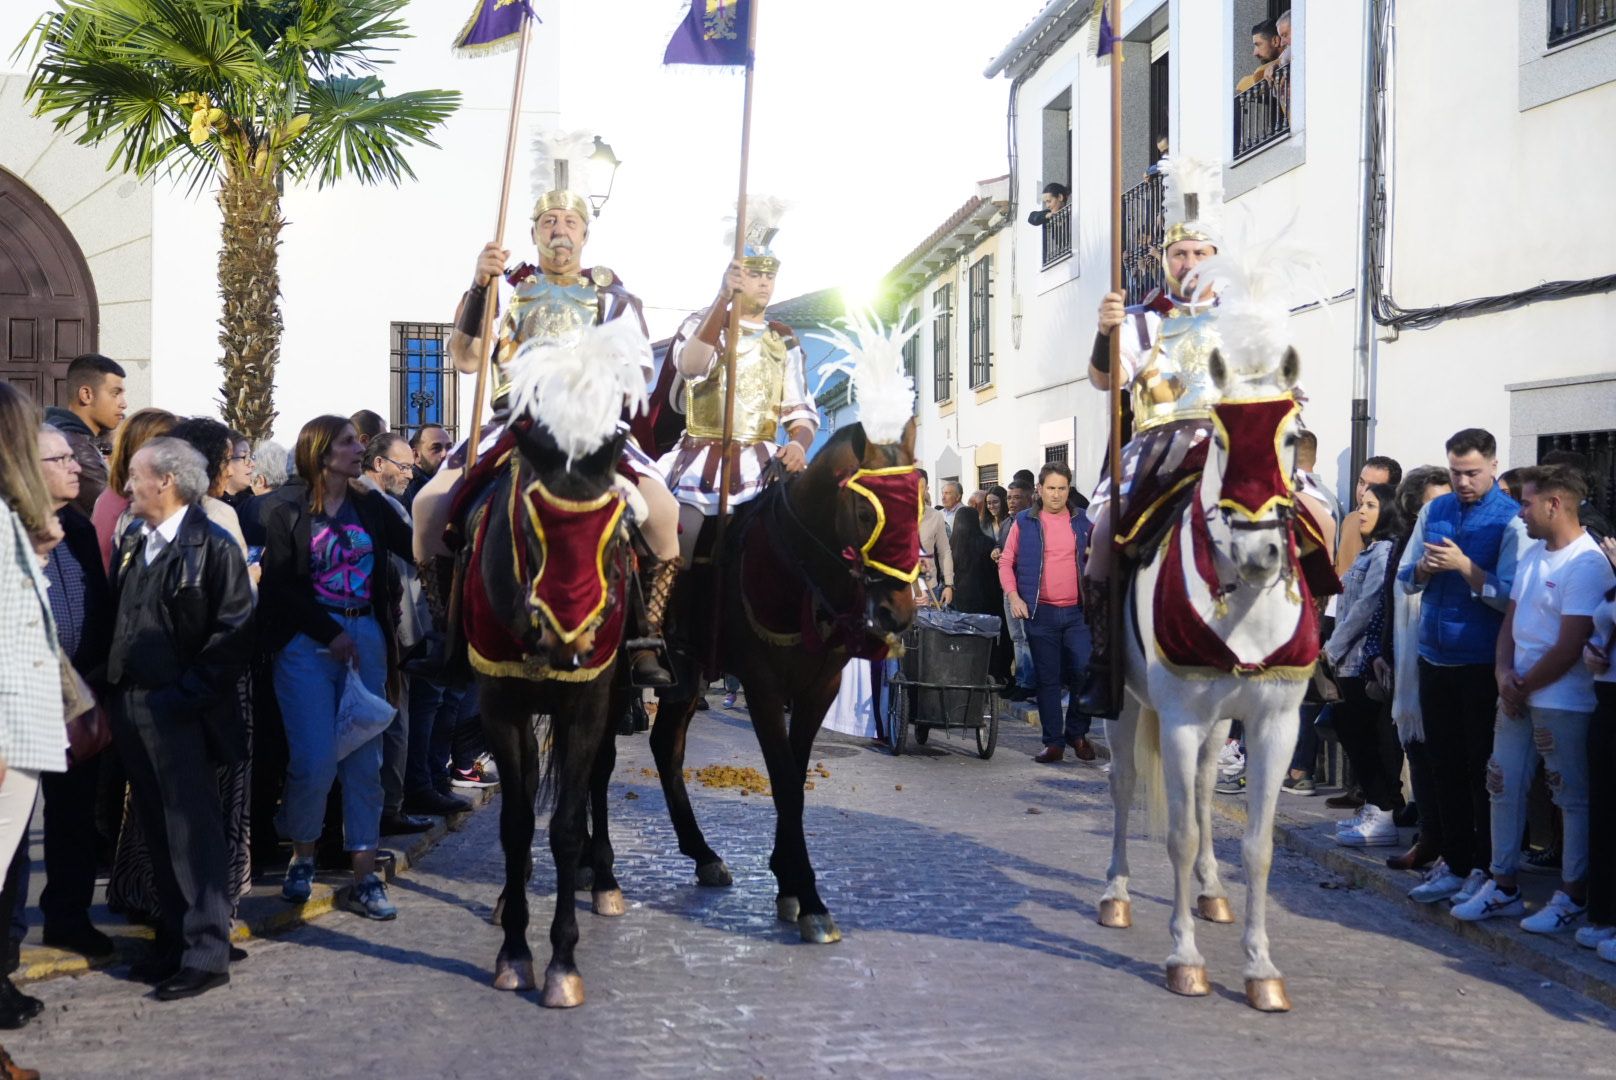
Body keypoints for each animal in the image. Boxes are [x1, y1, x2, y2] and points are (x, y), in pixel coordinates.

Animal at [465, 417, 633, 1008]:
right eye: (531, 525)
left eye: (617, 526)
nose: (570, 641)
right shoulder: (499, 706)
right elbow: (516, 825)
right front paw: (515, 954)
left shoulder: (586, 706)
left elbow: (564, 826)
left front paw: (563, 964)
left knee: (597, 779)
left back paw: (602, 880)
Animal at [646, 420, 924, 944]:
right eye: (865, 513)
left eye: (919, 508)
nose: (896, 614)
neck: (797, 572)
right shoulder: (764, 688)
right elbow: (785, 784)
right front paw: (809, 898)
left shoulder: (820, 689)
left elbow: (794, 778)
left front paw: (789, 883)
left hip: (687, 674)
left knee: (665, 745)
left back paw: (703, 855)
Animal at [1098, 344, 1338, 1015]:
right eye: (1223, 439)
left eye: (1291, 436)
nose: (1261, 555)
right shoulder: (1179, 719)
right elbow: (1178, 833)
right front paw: (1185, 960)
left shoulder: (1274, 725)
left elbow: (1257, 846)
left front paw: (1261, 969)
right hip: (1128, 706)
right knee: (1125, 785)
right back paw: (1117, 895)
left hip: (1217, 723)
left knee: (1205, 789)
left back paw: (1211, 892)